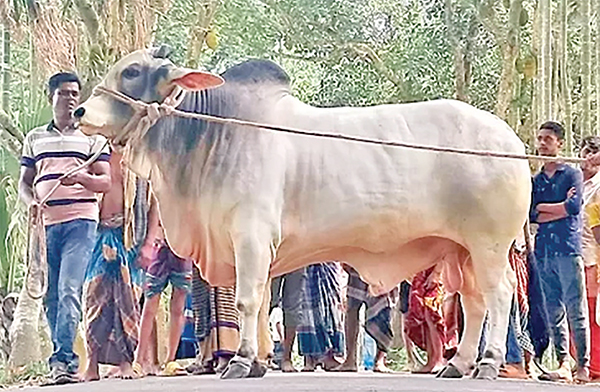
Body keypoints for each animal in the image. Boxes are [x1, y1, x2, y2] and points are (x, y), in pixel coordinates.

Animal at [75, 46, 528, 380]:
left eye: (132, 71)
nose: (79, 113)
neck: (215, 129)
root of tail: (511, 140)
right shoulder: (254, 247)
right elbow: (260, 305)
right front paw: (257, 363)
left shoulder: (251, 235)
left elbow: (246, 301)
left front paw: (240, 361)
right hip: (460, 251)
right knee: (474, 301)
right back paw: (458, 365)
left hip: (489, 244)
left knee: (499, 293)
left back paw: (488, 363)